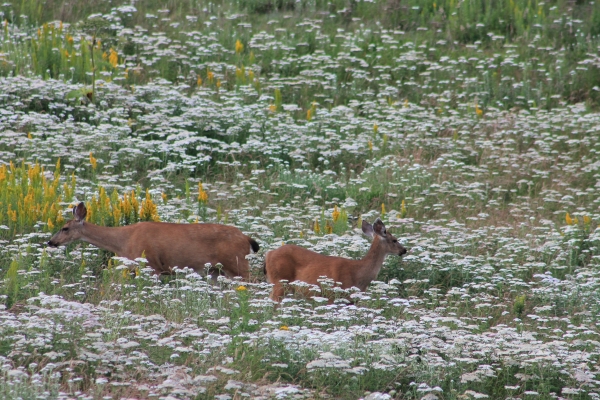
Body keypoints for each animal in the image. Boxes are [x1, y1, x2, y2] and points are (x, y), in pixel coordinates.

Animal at [48, 203, 258, 278]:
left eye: (65, 228)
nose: (50, 242)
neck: (123, 242)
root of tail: (246, 238)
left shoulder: (152, 265)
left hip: (237, 264)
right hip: (216, 270)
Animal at [264, 219, 406, 300]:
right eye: (395, 240)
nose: (404, 250)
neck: (358, 273)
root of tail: (269, 254)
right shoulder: (333, 294)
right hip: (280, 282)